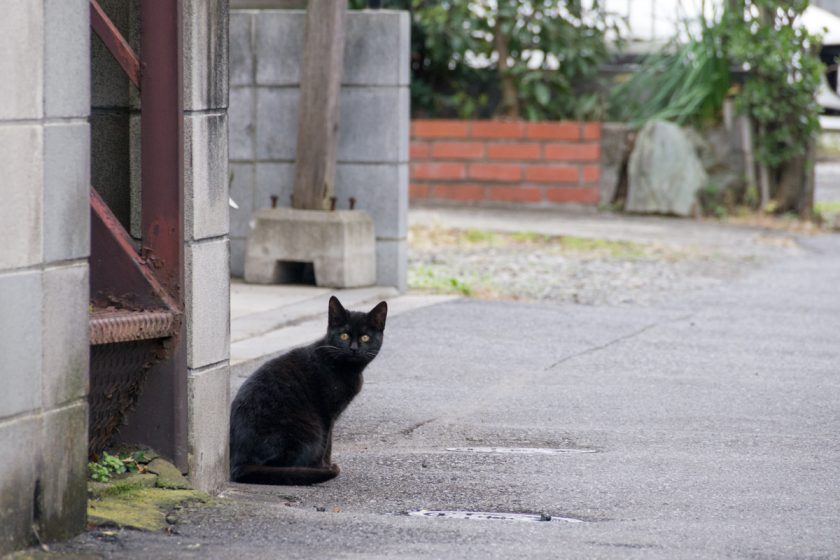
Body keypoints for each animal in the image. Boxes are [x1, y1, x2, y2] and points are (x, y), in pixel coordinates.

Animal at [230, 296, 388, 484]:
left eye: (365, 337)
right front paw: (325, 467)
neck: (348, 369)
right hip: (311, 431)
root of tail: (239, 464)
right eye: (344, 335)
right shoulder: (327, 415)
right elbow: (327, 445)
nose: (354, 348)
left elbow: (329, 445)